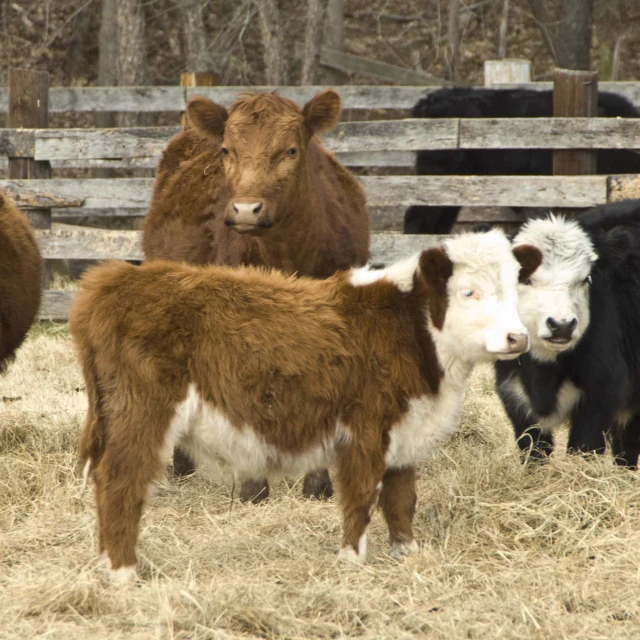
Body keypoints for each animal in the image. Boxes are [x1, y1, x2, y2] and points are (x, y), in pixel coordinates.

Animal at [70, 229, 540, 580]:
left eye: (516, 287)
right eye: (468, 291)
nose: (517, 337)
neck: (410, 329)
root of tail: (115, 279)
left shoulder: (406, 432)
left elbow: (401, 499)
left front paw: (406, 553)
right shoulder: (365, 430)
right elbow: (361, 496)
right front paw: (351, 561)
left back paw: (104, 561)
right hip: (141, 415)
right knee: (120, 481)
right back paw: (122, 572)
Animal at [142, 87, 368, 502]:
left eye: (291, 150)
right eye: (227, 150)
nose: (246, 209)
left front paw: (317, 484)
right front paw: (253, 486)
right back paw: (183, 463)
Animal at [496, 201, 640, 470]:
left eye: (586, 279)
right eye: (524, 278)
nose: (561, 325)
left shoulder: (601, 391)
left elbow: (584, 447)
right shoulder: (514, 394)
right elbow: (534, 451)